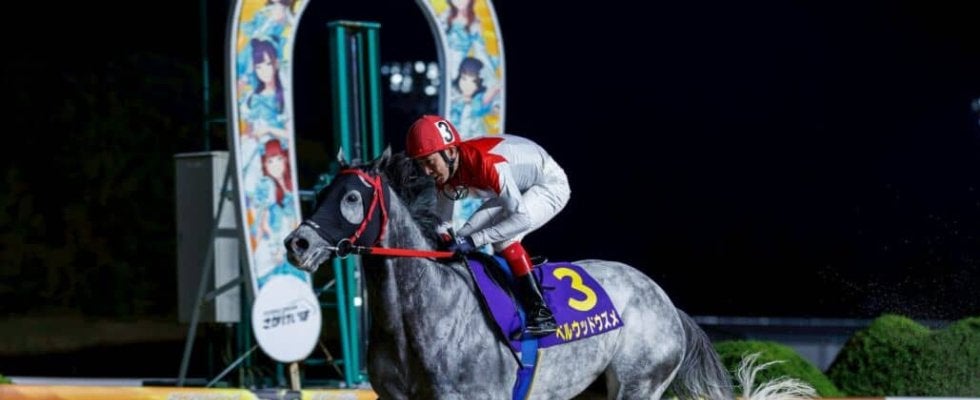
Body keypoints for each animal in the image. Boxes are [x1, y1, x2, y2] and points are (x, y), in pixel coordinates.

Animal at [283, 148, 814, 400]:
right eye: (322, 191)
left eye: (352, 197)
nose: (298, 244)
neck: (420, 318)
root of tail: (665, 301)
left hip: (639, 385)